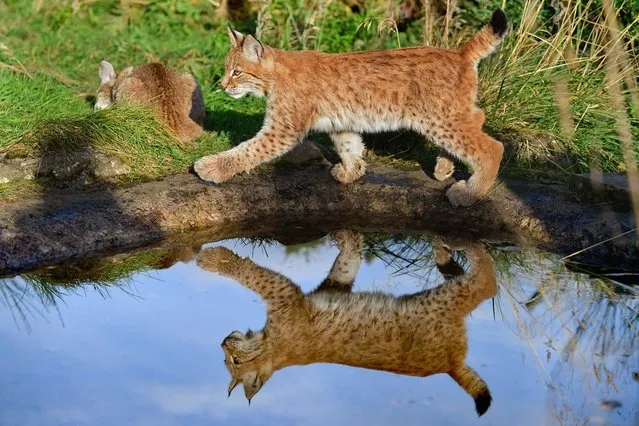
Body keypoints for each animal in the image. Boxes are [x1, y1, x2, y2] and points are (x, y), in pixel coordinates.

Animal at [195, 9, 510, 206]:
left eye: (237, 72)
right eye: (228, 70)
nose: (223, 86)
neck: (274, 75)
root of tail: (458, 53)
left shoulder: (282, 129)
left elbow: (248, 150)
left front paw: (212, 167)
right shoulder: (341, 122)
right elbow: (349, 146)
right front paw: (352, 171)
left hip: (440, 118)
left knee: (492, 147)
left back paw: (470, 194)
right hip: (444, 116)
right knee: (478, 118)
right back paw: (445, 167)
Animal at [198, 231, 498, 414]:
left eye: (234, 360)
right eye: (226, 359)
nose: (223, 341)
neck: (270, 347)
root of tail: (449, 367)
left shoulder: (284, 295)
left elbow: (251, 275)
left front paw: (215, 259)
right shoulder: (323, 289)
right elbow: (348, 260)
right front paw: (347, 235)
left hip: (441, 300)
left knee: (489, 283)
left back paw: (462, 240)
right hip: (443, 301)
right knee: (483, 282)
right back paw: (445, 250)